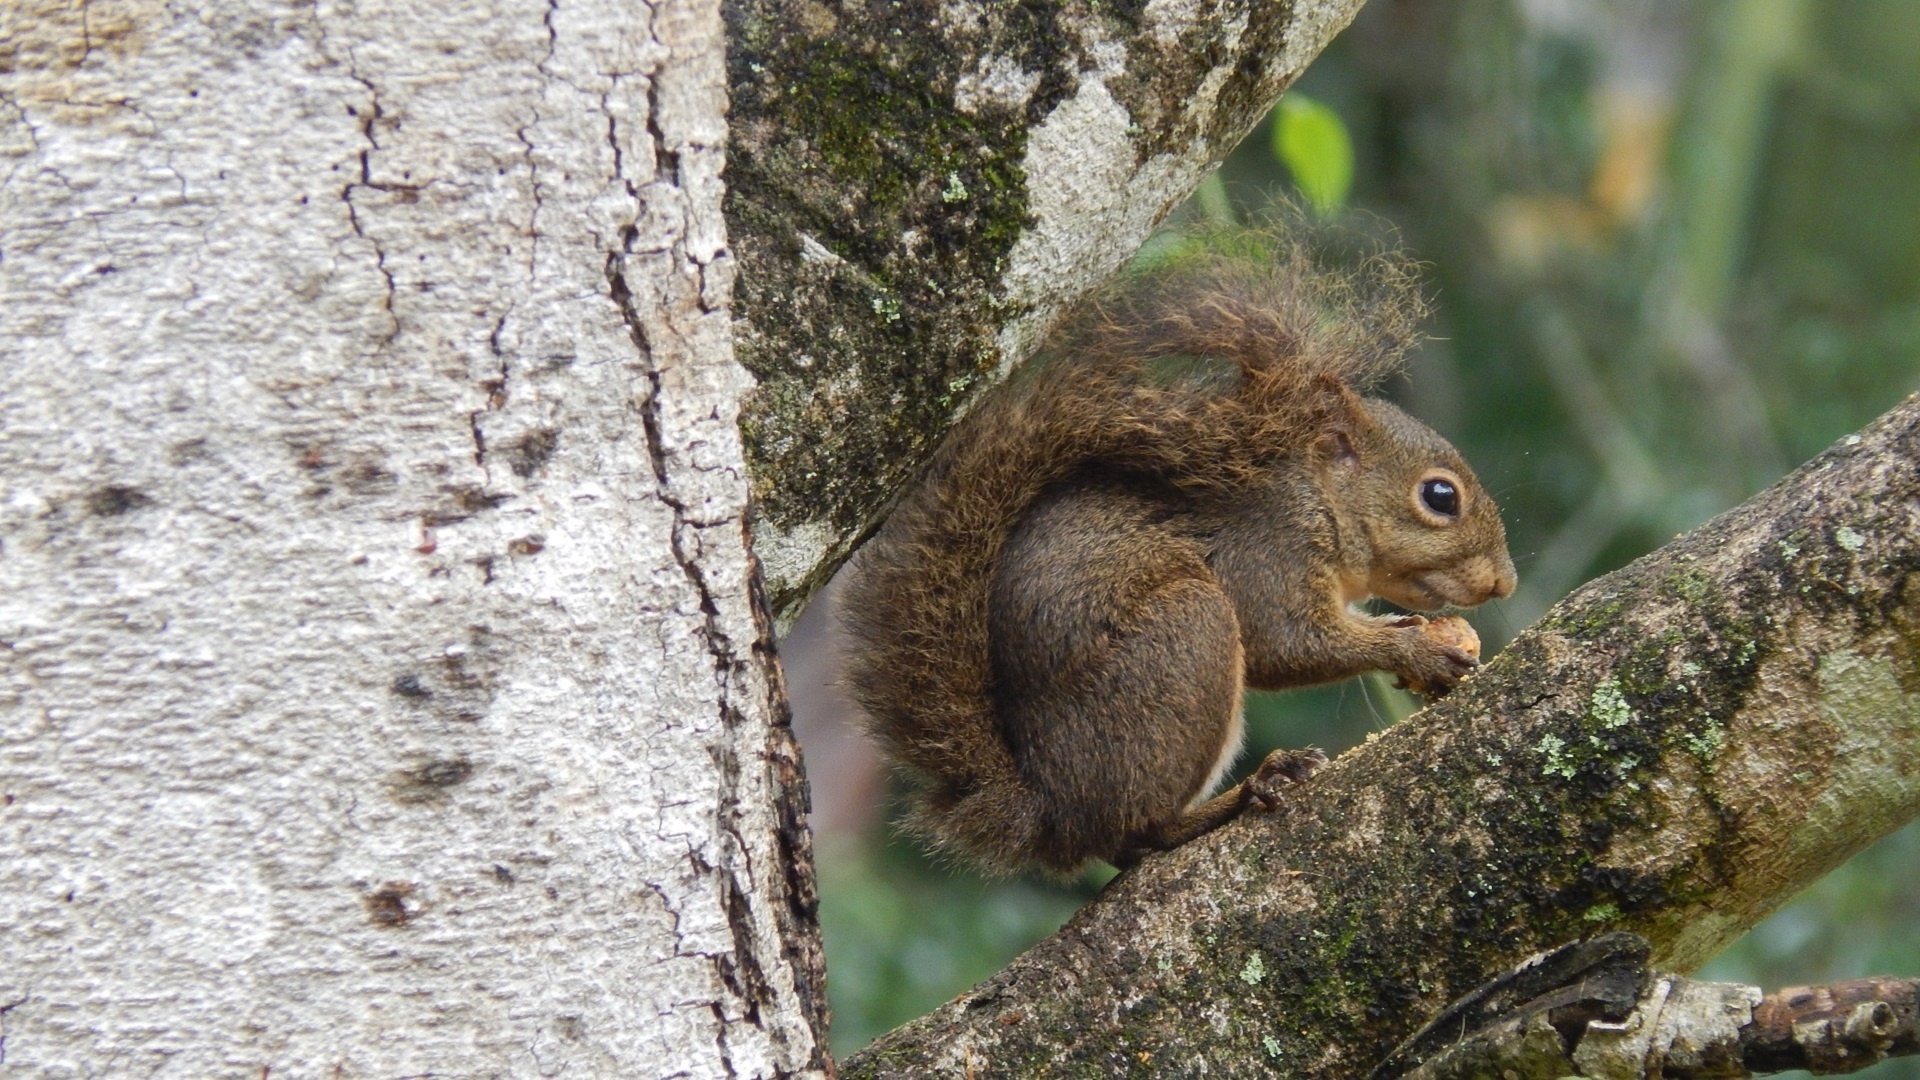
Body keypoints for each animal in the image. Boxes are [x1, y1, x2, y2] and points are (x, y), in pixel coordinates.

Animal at [840, 242, 1512, 876]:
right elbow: (1284, 643)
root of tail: (1051, 811)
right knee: (1136, 833)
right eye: (1440, 496)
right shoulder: (1268, 547)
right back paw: (1248, 790)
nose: (1504, 583)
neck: (1318, 496)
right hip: (1182, 639)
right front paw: (1416, 649)